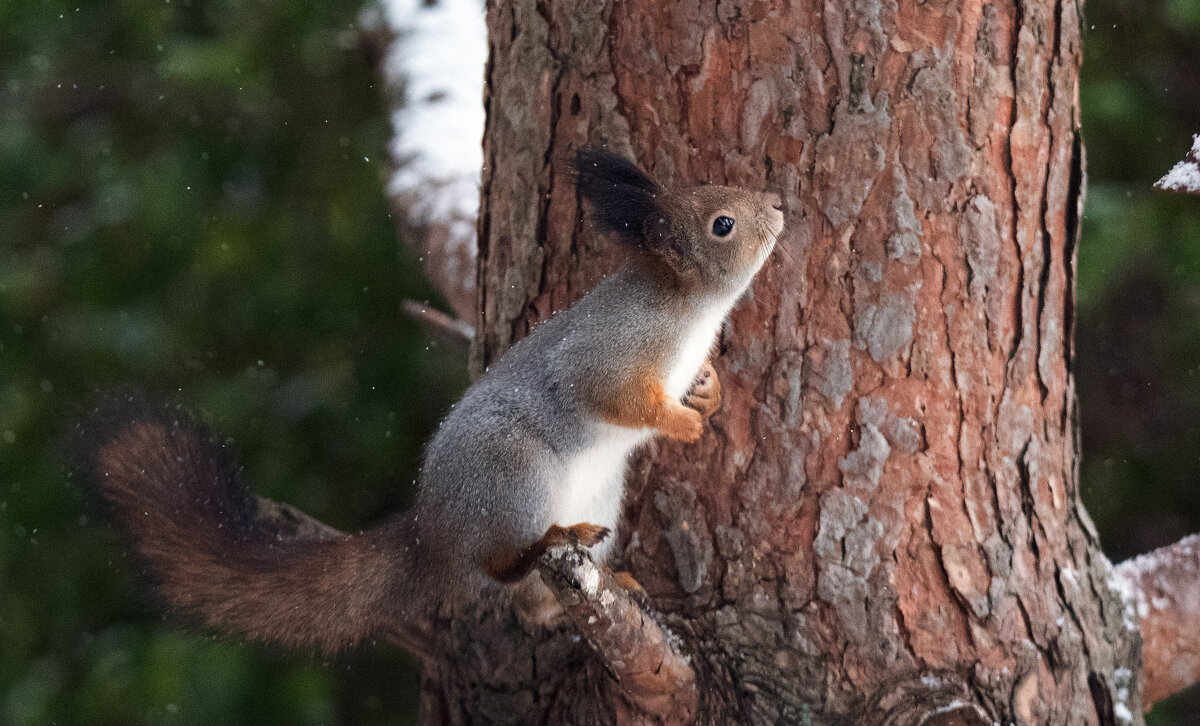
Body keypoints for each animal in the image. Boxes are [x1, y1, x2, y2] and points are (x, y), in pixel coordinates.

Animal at [79, 147, 782, 652]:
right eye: (722, 225)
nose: (778, 203)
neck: (688, 308)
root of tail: (431, 529)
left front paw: (708, 398)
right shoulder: (610, 349)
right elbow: (611, 395)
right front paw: (681, 424)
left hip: (597, 495)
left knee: (531, 604)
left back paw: (608, 582)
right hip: (513, 473)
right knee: (497, 567)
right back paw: (544, 544)